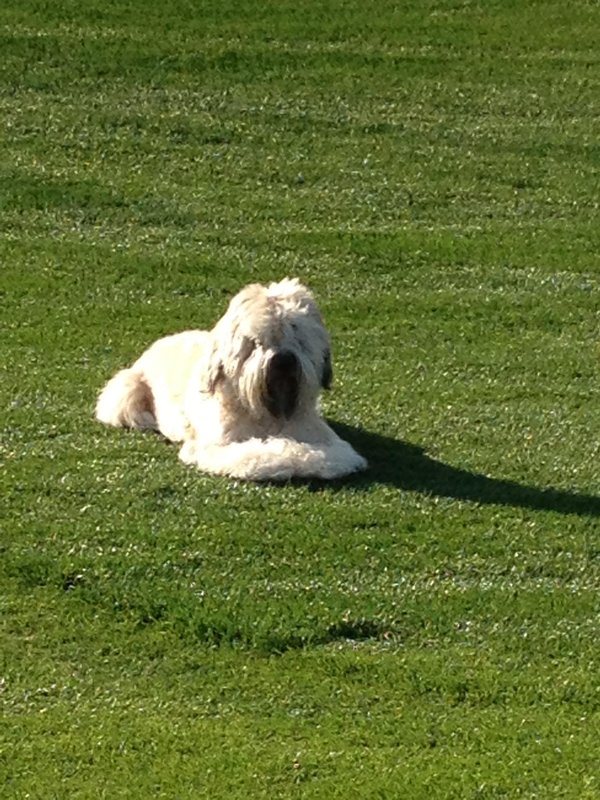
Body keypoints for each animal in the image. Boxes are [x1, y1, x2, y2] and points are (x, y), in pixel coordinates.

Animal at [95, 280, 366, 482]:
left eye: (297, 335)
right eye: (257, 342)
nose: (284, 360)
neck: (267, 414)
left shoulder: (330, 442)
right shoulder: (217, 447)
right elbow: (266, 452)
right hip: (126, 392)